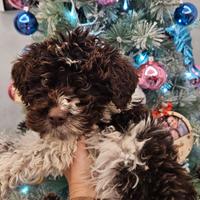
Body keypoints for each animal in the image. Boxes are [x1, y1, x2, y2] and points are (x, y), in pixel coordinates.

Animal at [0, 28, 197, 200]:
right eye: (44, 80)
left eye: (87, 86)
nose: (56, 116)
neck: (107, 114)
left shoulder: (94, 140)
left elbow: (34, 149)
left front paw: (3, 169)